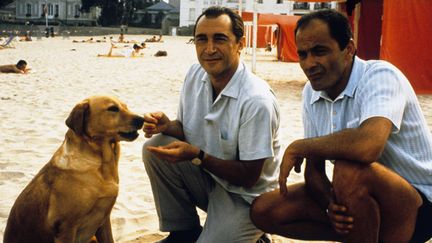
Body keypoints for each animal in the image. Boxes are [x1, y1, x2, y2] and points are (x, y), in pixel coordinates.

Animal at [3, 96, 144, 242]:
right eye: (113, 108)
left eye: (125, 107)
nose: (141, 119)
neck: (101, 165)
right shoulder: (66, 227)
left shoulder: (104, 221)